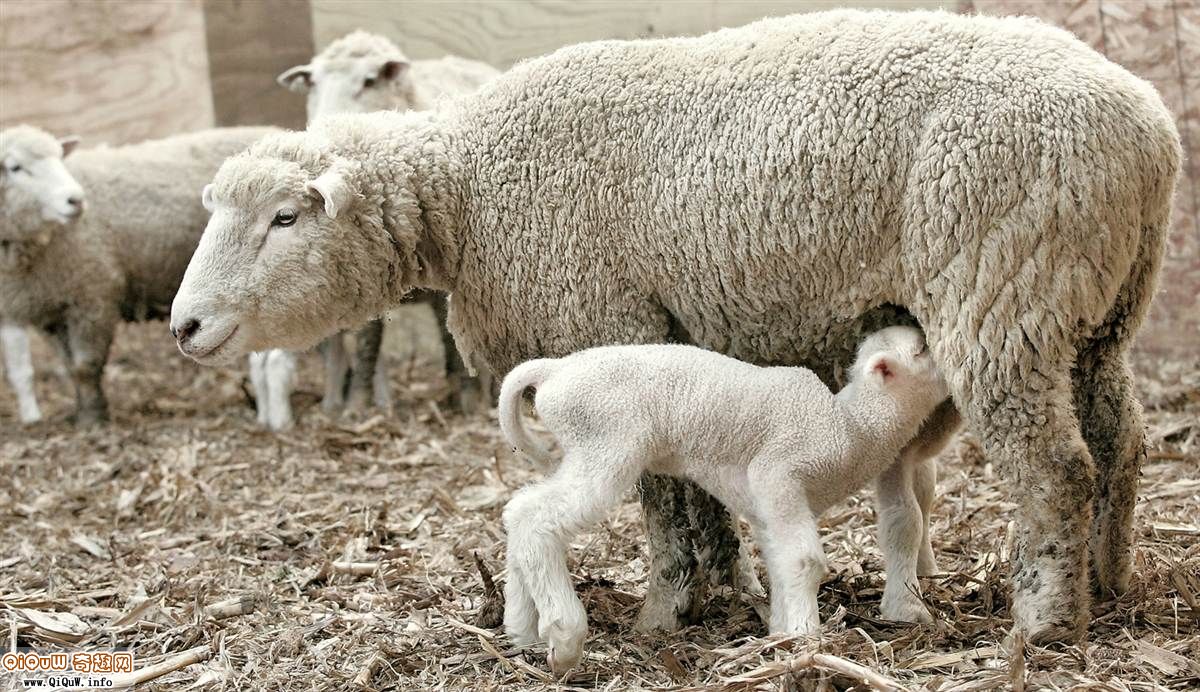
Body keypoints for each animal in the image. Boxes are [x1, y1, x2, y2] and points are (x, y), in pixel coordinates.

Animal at [0, 127, 274, 424]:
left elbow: (86, 366)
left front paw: (94, 419)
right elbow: (70, 366)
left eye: (60, 158)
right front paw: (83, 414)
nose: (75, 200)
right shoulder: (52, 310)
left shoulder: (93, 297)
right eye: (14, 167)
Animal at [496, 326, 945, 671]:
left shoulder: (767, 506)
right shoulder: (778, 473)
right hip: (605, 443)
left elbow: (781, 563)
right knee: (537, 518)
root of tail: (555, 368)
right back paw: (563, 636)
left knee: (519, 510)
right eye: (922, 349)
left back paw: (521, 629)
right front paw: (807, 639)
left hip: (586, 446)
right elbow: (805, 560)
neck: (852, 428)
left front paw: (781, 632)